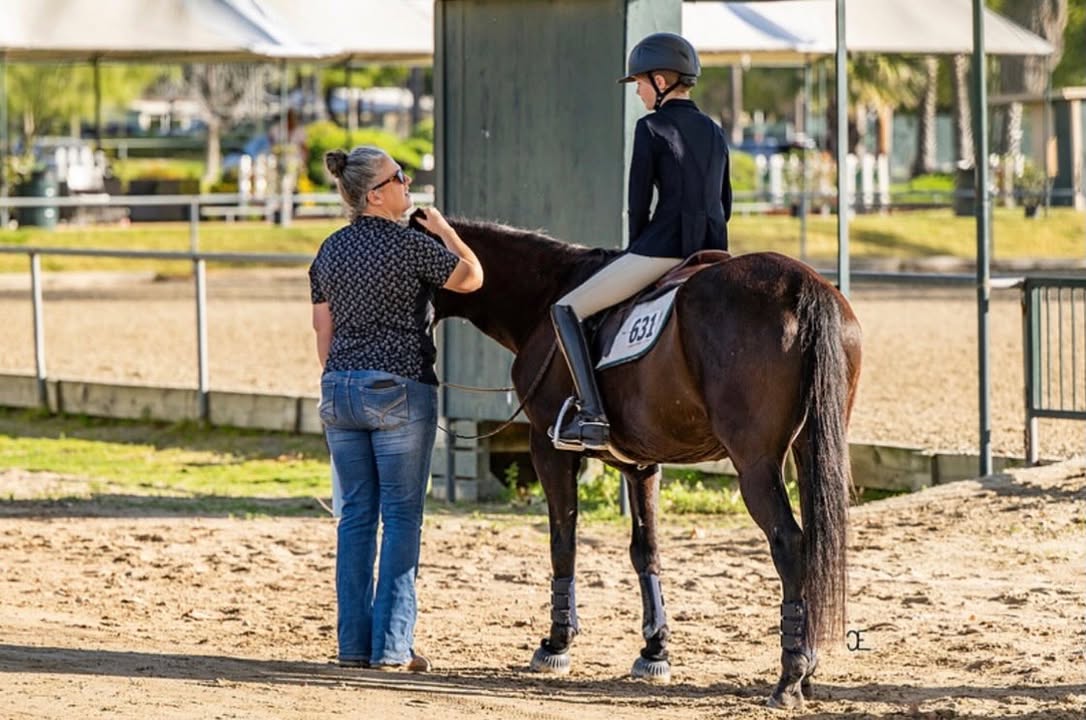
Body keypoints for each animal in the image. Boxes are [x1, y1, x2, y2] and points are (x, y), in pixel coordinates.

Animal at [428, 216, 862, 709]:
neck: (544, 294)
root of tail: (801, 283)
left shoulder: (547, 448)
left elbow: (563, 543)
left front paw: (557, 644)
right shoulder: (643, 465)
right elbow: (645, 550)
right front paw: (655, 650)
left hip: (755, 462)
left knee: (788, 543)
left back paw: (789, 678)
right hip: (809, 447)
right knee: (814, 543)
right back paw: (807, 669)